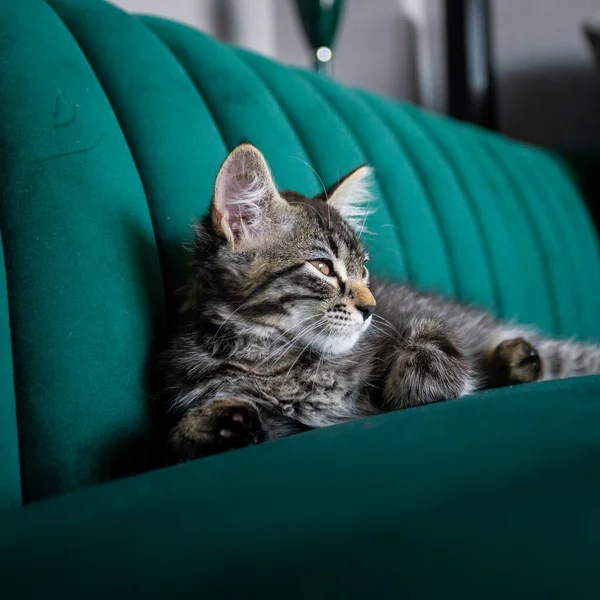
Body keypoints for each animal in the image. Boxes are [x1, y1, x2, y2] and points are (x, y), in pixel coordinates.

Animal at [162, 142, 600, 460]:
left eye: (364, 270)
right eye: (322, 267)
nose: (371, 309)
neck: (281, 359)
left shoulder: (426, 331)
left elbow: (433, 350)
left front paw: (406, 387)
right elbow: (184, 434)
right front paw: (210, 424)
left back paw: (519, 358)